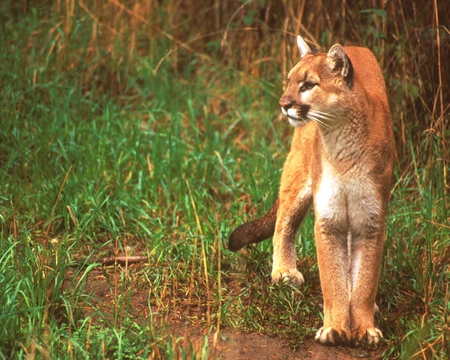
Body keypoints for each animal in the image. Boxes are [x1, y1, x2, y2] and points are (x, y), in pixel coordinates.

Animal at [229, 35, 394, 346]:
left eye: (308, 85)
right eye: (290, 81)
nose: (283, 103)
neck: (342, 147)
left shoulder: (370, 220)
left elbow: (365, 278)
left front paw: (364, 327)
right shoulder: (328, 218)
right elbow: (331, 277)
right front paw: (336, 327)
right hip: (298, 177)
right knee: (283, 224)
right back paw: (283, 272)